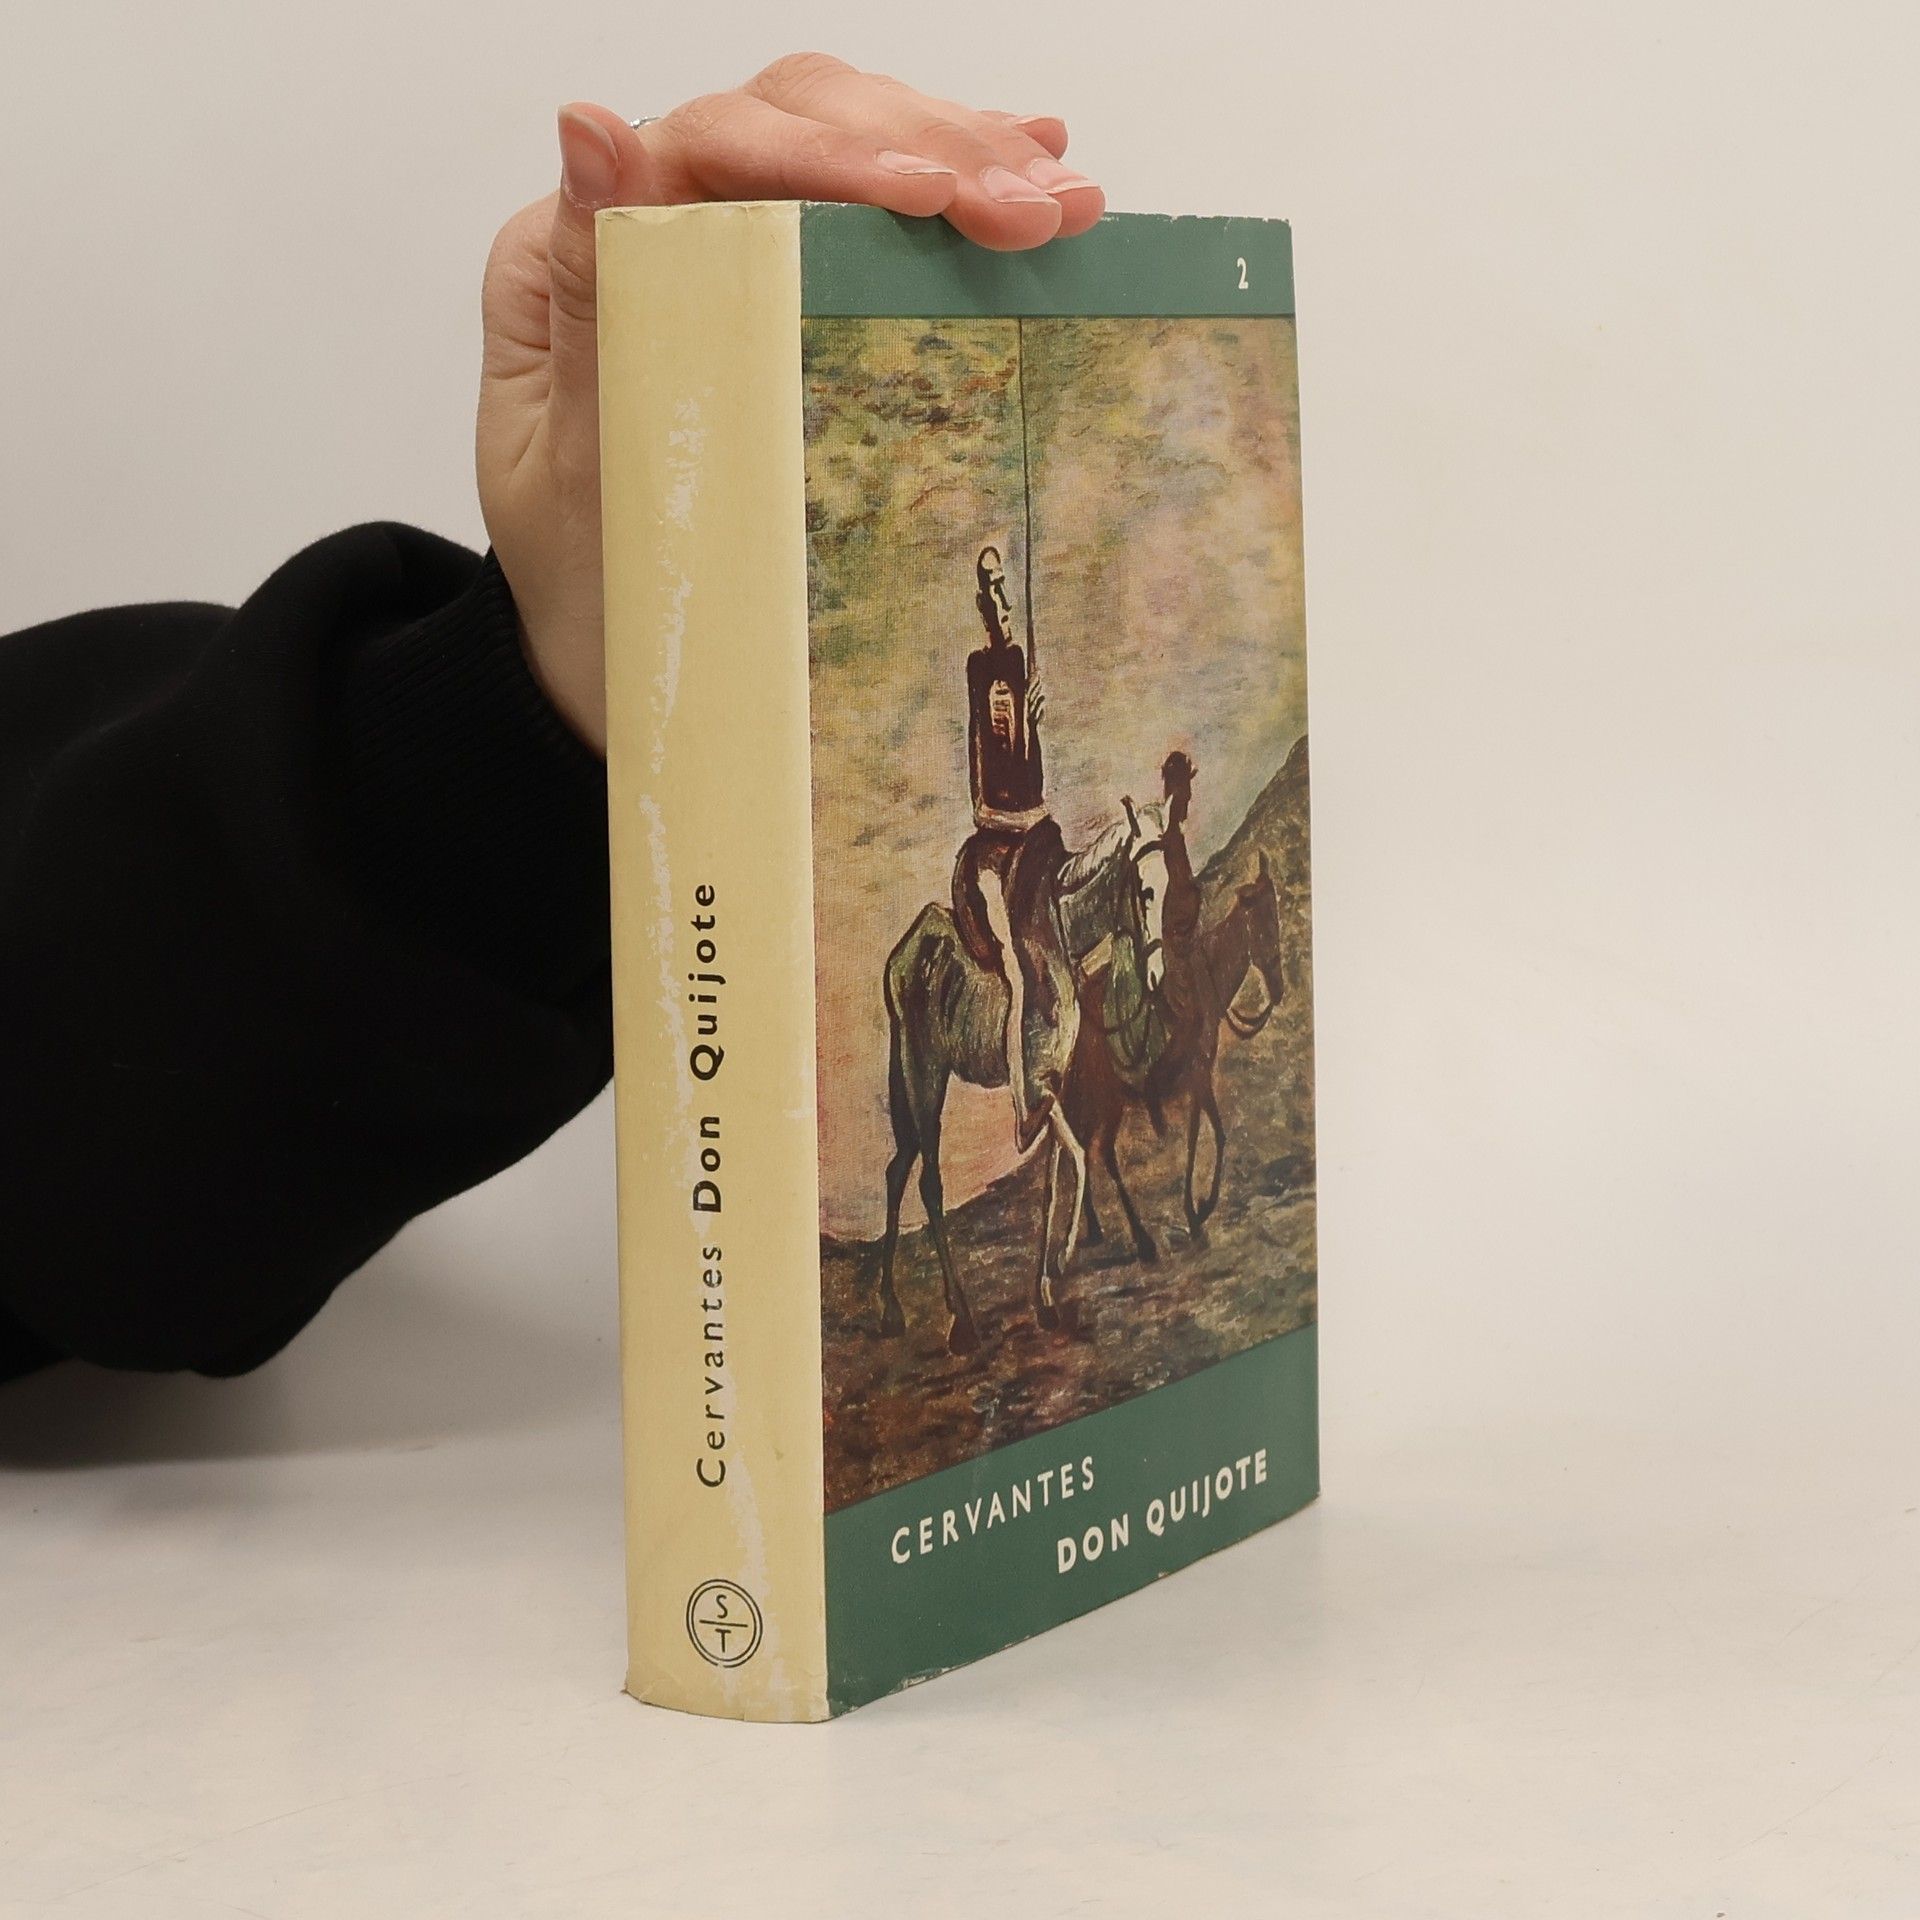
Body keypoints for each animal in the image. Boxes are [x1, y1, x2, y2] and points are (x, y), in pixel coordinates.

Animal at [874, 810, 1151, 1355]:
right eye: (1145, 890)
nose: (1156, 965)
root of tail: (904, 956)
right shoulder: (1044, 1088)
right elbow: (1078, 1157)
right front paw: (1063, 1263)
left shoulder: (1061, 1088)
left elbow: (1059, 1176)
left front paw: (1048, 1291)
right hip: (924, 1070)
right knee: (928, 1180)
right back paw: (961, 1323)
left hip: (913, 1079)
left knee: (898, 1168)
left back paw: (894, 1310)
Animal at [1067, 850, 1286, 1264]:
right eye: (1264, 924)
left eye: (1277, 917)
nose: (1279, 988)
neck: (1203, 984)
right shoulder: (1197, 1075)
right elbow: (1203, 1136)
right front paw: (1196, 1212)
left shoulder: (1199, 1076)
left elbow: (1211, 1133)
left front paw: (1200, 1208)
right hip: (1104, 1099)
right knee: (1098, 1152)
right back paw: (1141, 1241)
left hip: (1106, 1102)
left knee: (1090, 1150)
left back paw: (1100, 1230)